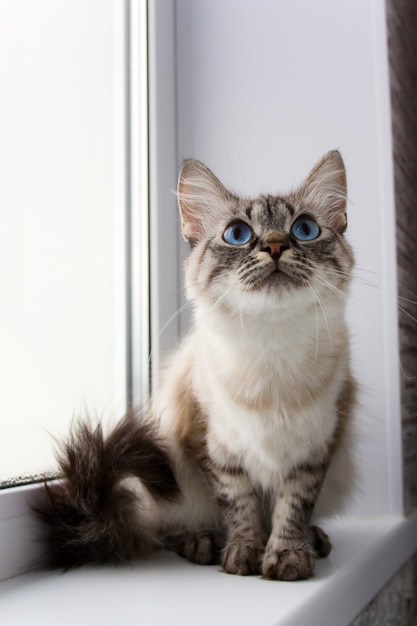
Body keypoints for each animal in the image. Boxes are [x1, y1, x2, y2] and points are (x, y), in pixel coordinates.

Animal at [35, 151, 354, 580]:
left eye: (304, 229)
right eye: (237, 234)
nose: (274, 246)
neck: (272, 350)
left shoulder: (315, 451)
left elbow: (291, 509)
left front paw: (287, 557)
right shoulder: (210, 445)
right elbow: (240, 507)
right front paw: (243, 557)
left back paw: (316, 541)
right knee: (165, 529)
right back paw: (202, 543)